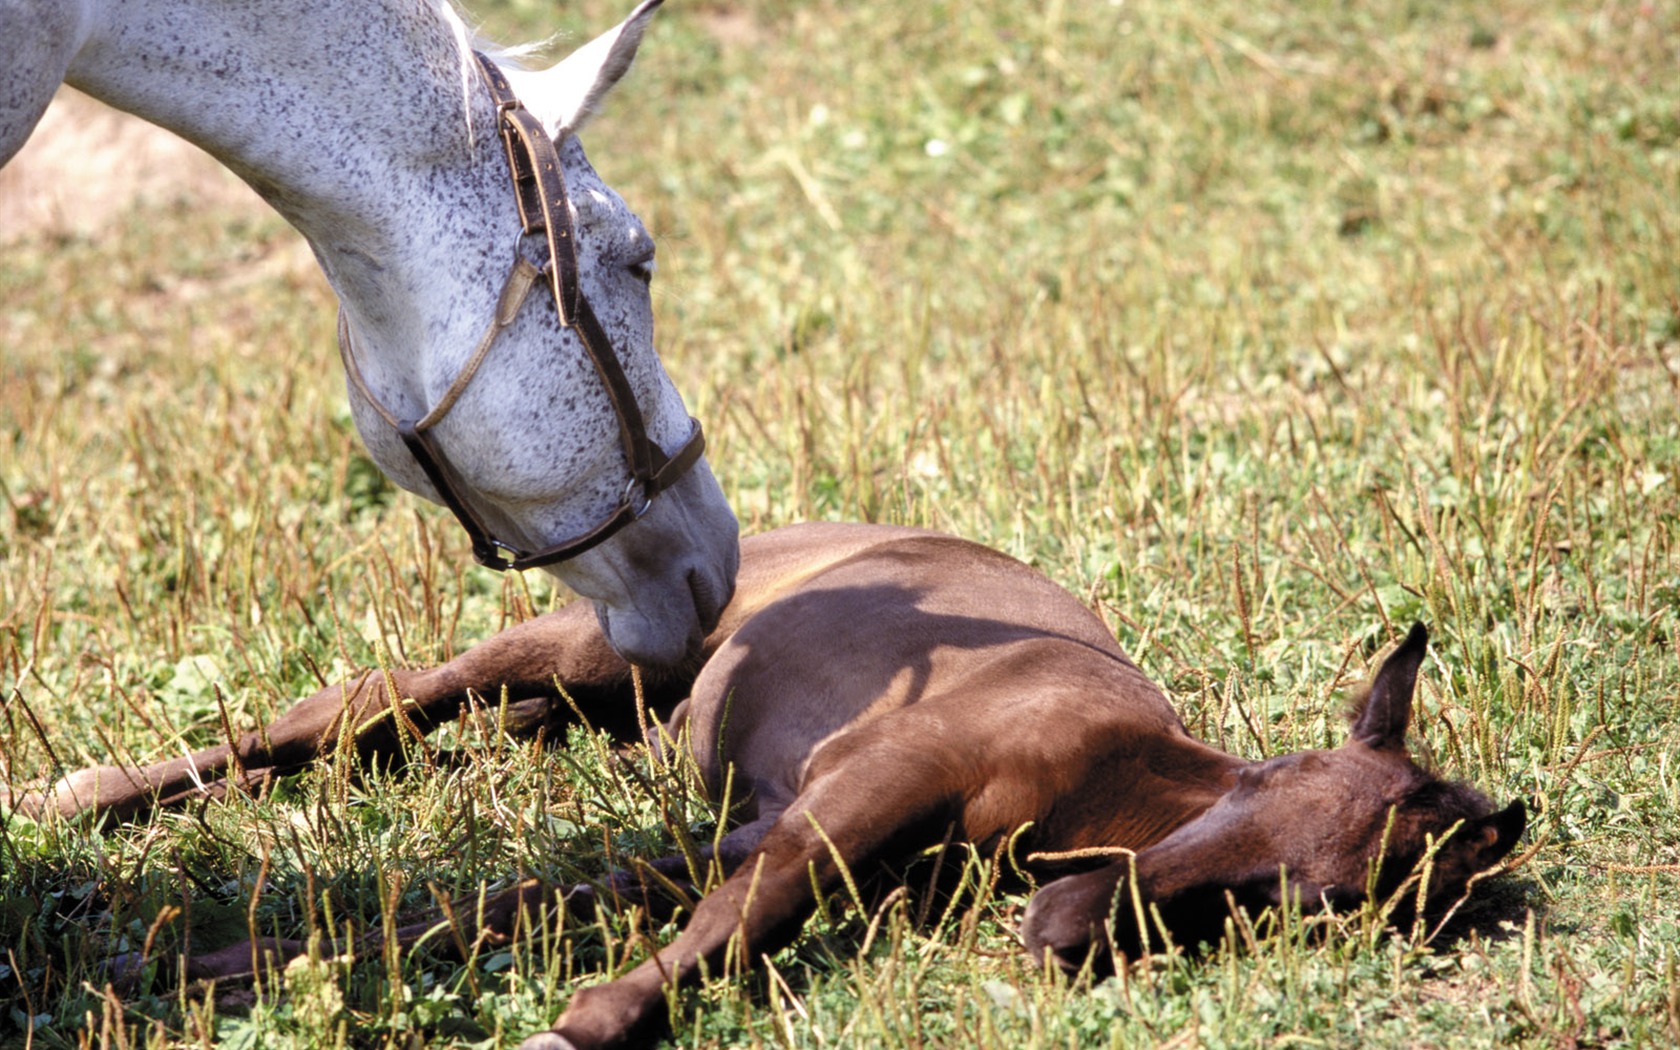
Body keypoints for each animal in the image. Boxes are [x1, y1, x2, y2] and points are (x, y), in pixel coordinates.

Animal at [16, 524, 1525, 1048]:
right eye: (1263, 822)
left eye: (1319, 908)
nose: (1063, 933)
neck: (1095, 776)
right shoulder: (838, 808)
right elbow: (726, 931)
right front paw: (581, 1025)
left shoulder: (760, 820)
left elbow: (511, 903)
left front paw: (188, 966)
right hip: (575, 643)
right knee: (343, 715)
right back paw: (74, 800)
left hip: (599, 704)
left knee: (425, 742)